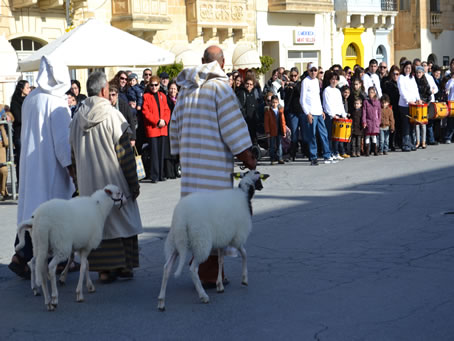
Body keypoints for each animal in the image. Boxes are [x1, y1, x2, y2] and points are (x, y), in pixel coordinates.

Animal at [158, 170, 268, 310]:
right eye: (259, 177)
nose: (262, 187)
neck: (244, 194)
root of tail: (182, 215)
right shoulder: (237, 237)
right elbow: (244, 254)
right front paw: (244, 279)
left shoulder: (223, 238)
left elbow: (220, 260)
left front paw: (219, 285)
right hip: (201, 242)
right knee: (193, 269)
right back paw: (203, 296)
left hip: (177, 242)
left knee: (166, 268)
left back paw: (161, 302)